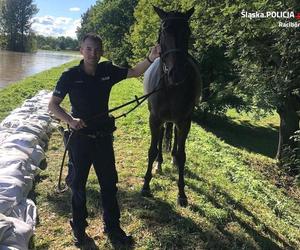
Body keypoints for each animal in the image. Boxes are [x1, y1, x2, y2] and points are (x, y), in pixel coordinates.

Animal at [142, 6, 203, 207]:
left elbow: (183, 155)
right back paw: (159, 163)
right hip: (161, 120)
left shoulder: (185, 121)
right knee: (162, 136)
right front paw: (146, 185)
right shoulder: (154, 119)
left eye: (188, 32)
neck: (170, 87)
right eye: (164, 31)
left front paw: (182, 194)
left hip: (177, 121)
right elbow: (152, 150)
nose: (176, 73)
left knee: (174, 135)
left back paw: (173, 160)